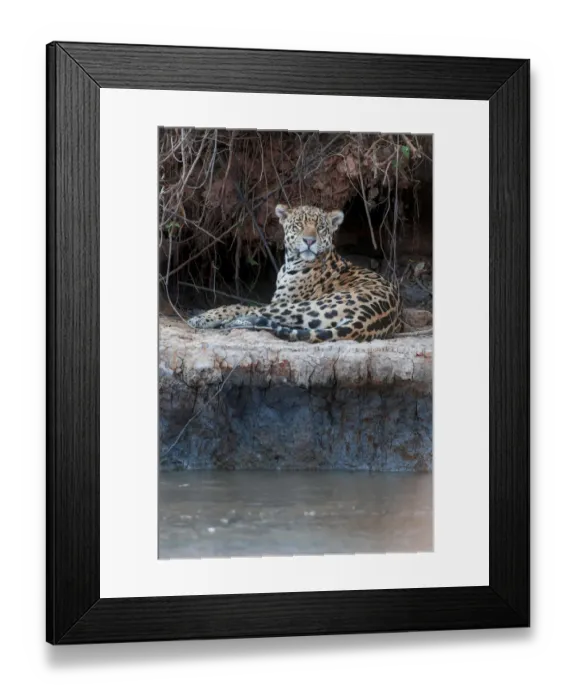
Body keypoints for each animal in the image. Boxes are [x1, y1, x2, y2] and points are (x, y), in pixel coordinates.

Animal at [187, 203, 404, 343]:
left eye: (320, 228)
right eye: (298, 224)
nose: (309, 240)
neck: (292, 262)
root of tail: (365, 320)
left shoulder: (283, 300)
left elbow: (242, 305)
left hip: (303, 305)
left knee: (251, 310)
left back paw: (212, 319)